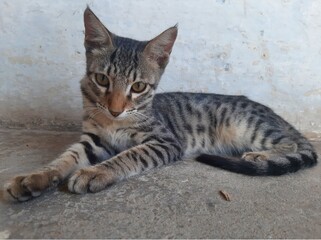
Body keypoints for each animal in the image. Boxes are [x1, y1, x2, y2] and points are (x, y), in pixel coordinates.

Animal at [3, 7, 316, 202]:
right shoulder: (93, 139)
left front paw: (96, 172)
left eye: (138, 87)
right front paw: (35, 177)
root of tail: (275, 114)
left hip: (246, 126)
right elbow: (64, 158)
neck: (113, 122)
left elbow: (129, 155)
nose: (115, 109)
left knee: (292, 143)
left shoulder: (165, 141)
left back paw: (259, 156)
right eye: (102, 79)